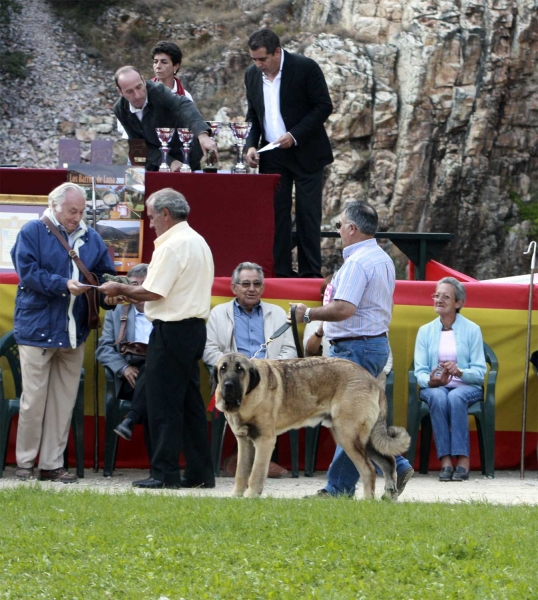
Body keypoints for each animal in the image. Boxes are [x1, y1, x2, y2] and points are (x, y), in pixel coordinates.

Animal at [211, 354, 408, 500]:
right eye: (222, 369)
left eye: (240, 369)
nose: (228, 385)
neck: (248, 395)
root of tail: (371, 379)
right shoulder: (244, 441)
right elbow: (241, 472)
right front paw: (236, 496)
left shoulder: (264, 441)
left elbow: (256, 473)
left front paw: (251, 496)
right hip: (363, 439)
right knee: (388, 462)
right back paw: (389, 494)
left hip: (347, 435)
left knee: (368, 470)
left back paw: (367, 500)